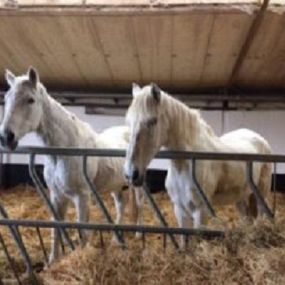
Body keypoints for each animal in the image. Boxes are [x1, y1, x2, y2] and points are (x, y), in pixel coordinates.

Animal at [0, 67, 142, 262]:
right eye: (6, 99)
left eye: (30, 100)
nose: (6, 137)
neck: (65, 150)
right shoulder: (57, 196)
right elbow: (56, 228)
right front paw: (53, 261)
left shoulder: (81, 197)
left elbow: (82, 230)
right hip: (116, 185)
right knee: (121, 205)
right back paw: (116, 239)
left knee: (140, 205)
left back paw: (137, 235)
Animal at [123, 82, 270, 231]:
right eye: (128, 122)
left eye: (152, 121)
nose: (131, 174)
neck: (184, 165)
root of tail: (259, 138)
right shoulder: (180, 210)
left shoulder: (201, 211)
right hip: (240, 197)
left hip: (261, 193)